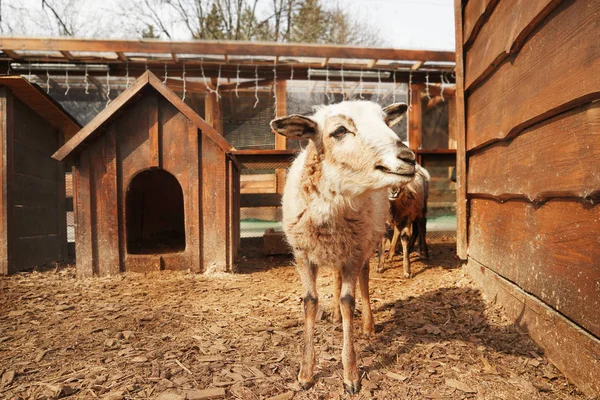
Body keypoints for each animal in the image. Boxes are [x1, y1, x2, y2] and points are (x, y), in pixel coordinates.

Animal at [270, 100, 414, 394]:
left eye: (386, 122)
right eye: (339, 131)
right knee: (336, 278)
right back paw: (335, 315)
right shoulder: (302, 255)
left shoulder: (354, 254)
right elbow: (310, 302)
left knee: (364, 282)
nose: (409, 158)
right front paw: (305, 373)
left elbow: (350, 300)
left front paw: (351, 374)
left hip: (364, 244)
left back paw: (368, 324)